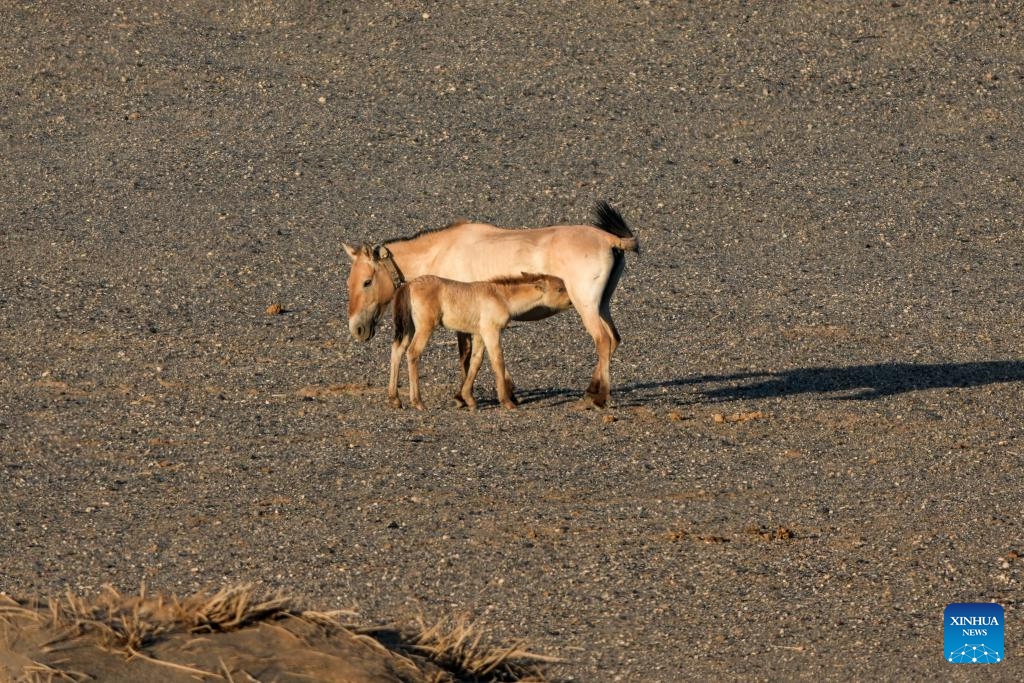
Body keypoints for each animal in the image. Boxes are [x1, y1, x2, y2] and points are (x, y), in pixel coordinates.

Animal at [388, 273, 572, 410]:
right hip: (425, 327)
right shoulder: (491, 331)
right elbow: (497, 361)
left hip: (409, 328)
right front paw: (507, 401)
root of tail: (408, 285)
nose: (571, 301)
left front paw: (468, 399)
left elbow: (476, 362)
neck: (502, 297)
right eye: (560, 289)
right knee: (413, 353)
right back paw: (418, 402)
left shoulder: (479, 334)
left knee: (397, 351)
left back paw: (395, 399)